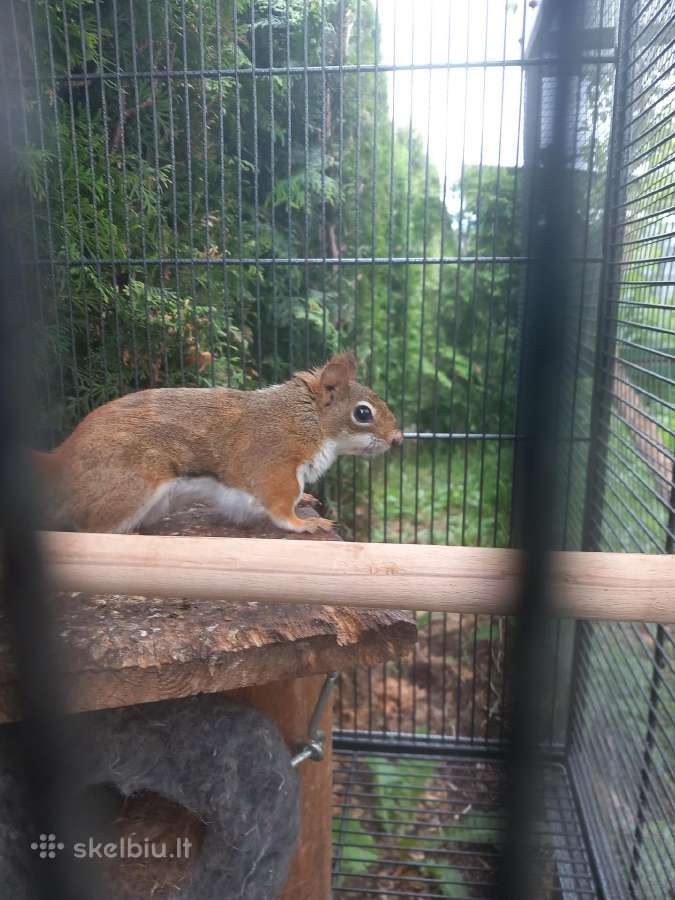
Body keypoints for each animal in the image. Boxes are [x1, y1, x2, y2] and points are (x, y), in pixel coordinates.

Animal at [33, 352, 402, 534]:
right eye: (363, 413)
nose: (397, 439)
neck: (309, 421)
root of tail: (61, 463)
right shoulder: (275, 465)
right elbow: (281, 509)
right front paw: (306, 523)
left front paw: (308, 501)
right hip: (127, 490)